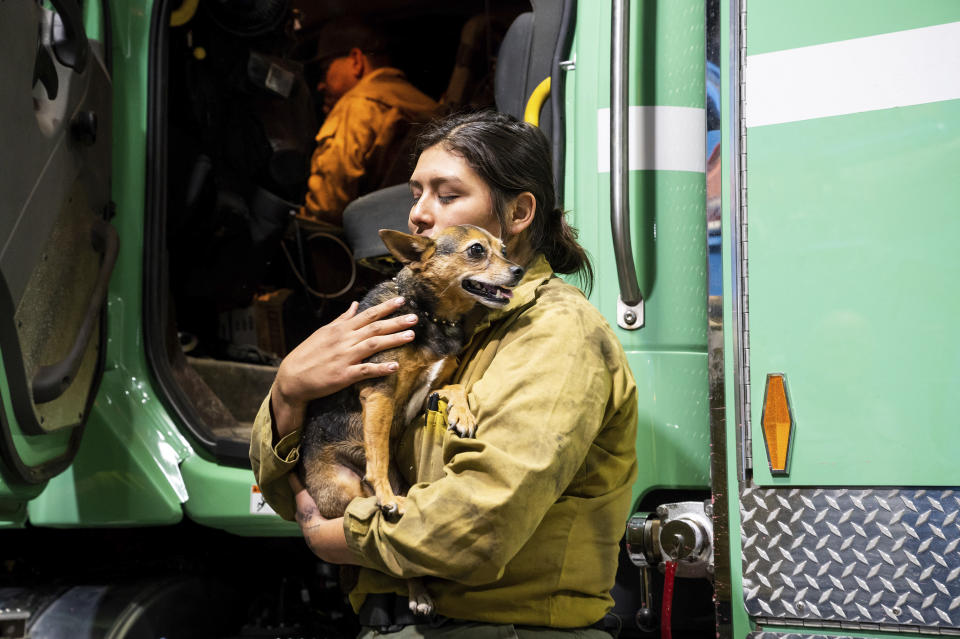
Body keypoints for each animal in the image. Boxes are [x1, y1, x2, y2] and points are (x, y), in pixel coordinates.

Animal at [300, 224, 524, 616]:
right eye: (477, 251)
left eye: (505, 249)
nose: (518, 270)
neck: (431, 315)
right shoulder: (380, 393)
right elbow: (377, 455)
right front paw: (385, 496)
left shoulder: (428, 391)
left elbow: (454, 385)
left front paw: (462, 412)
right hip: (344, 490)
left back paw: (419, 593)